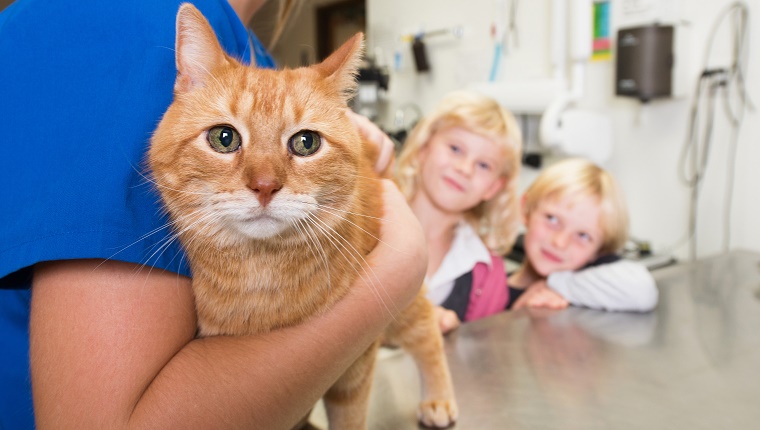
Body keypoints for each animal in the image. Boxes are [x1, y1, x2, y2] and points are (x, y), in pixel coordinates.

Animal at [149, 4, 458, 430]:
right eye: (224, 138)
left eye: (306, 142)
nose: (264, 186)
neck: (261, 274)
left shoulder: (357, 364)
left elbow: (349, 416)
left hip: (405, 313)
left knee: (426, 329)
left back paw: (438, 396)